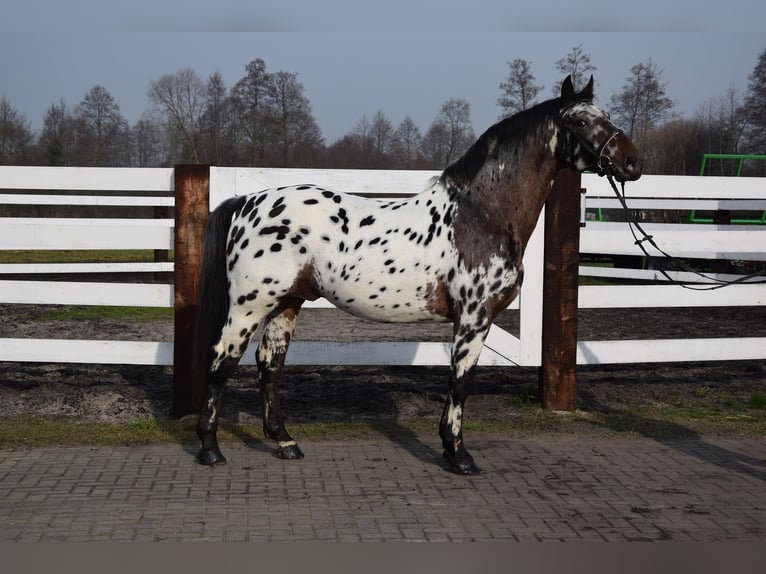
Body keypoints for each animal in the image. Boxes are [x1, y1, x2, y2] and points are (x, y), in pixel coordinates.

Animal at [190, 75, 640, 476]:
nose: (631, 162)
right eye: (579, 121)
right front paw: (458, 455)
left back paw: (285, 442)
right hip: (250, 306)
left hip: (286, 302)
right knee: (221, 360)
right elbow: (461, 381)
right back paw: (210, 449)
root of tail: (248, 202)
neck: (481, 213)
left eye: (606, 114)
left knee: (270, 364)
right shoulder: (475, 317)